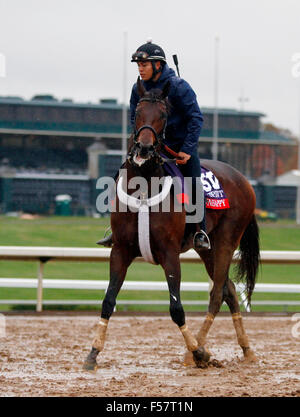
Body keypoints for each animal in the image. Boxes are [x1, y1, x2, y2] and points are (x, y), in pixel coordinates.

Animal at [82, 79, 260, 370]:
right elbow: (108, 301)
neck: (144, 187)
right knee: (229, 290)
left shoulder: (169, 254)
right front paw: (93, 354)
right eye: (137, 112)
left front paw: (198, 352)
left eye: (164, 114)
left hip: (226, 240)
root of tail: (244, 180)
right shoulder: (120, 250)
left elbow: (176, 309)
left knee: (216, 294)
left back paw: (198, 350)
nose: (144, 148)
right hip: (207, 249)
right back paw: (246, 350)